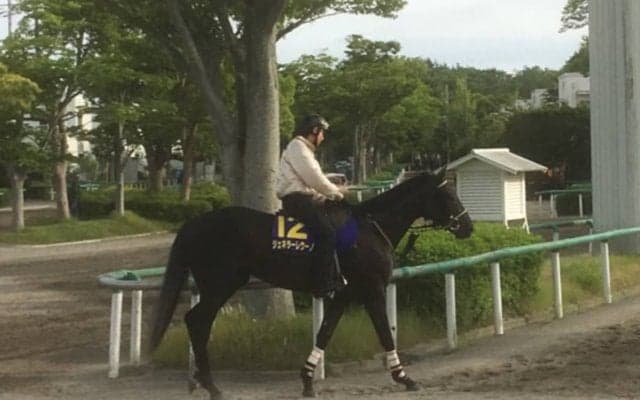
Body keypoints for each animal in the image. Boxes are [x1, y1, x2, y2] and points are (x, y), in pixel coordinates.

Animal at [149, 170, 473, 399]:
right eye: (449, 196)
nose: (468, 226)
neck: (369, 229)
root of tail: (193, 223)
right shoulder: (372, 289)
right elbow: (385, 333)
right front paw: (404, 377)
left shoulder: (343, 294)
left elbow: (325, 332)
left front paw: (307, 380)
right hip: (221, 283)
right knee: (198, 321)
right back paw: (211, 385)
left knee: (198, 322)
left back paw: (204, 382)